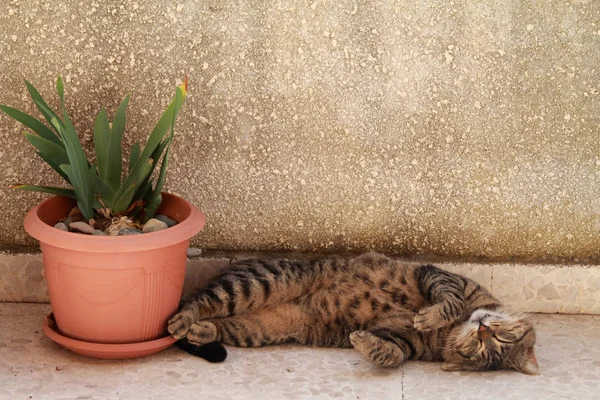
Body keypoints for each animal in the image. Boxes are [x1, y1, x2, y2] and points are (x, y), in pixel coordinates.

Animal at [168, 253, 540, 376]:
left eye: (479, 351)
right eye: (501, 336)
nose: (482, 330)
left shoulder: (400, 338)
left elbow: (393, 354)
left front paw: (366, 343)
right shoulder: (439, 276)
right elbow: (449, 301)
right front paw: (432, 315)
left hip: (256, 328)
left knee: (218, 324)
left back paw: (200, 331)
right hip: (256, 284)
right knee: (195, 301)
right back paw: (182, 319)